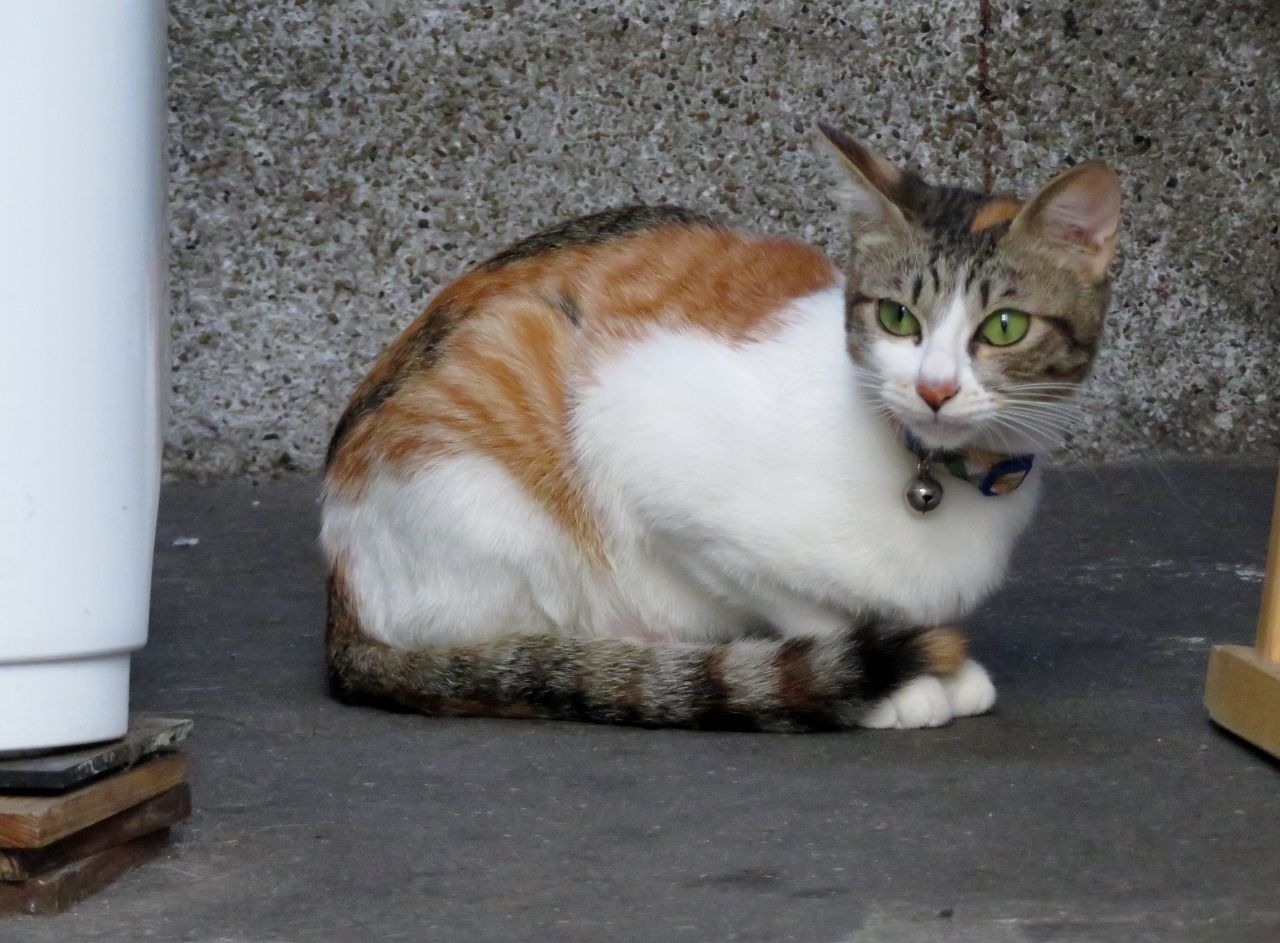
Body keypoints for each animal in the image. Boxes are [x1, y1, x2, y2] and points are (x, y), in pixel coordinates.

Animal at [317, 121, 1121, 731]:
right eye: (898, 318)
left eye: (1005, 326)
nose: (934, 387)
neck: (935, 473)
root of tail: (341, 598)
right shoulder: (652, 461)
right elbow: (803, 608)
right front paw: (897, 680)